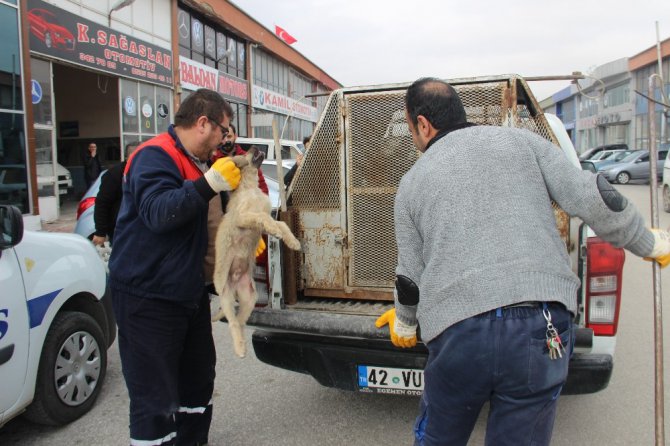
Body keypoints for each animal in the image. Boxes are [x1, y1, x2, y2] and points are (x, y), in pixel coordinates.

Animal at [213, 147, 302, 358]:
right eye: (245, 152)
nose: (254, 147)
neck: (250, 187)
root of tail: (235, 281)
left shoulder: (262, 215)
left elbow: (282, 223)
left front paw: (292, 241)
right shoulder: (244, 216)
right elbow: (263, 217)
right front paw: (275, 231)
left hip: (249, 297)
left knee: (240, 321)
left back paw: (243, 344)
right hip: (226, 297)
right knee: (232, 322)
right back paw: (239, 348)